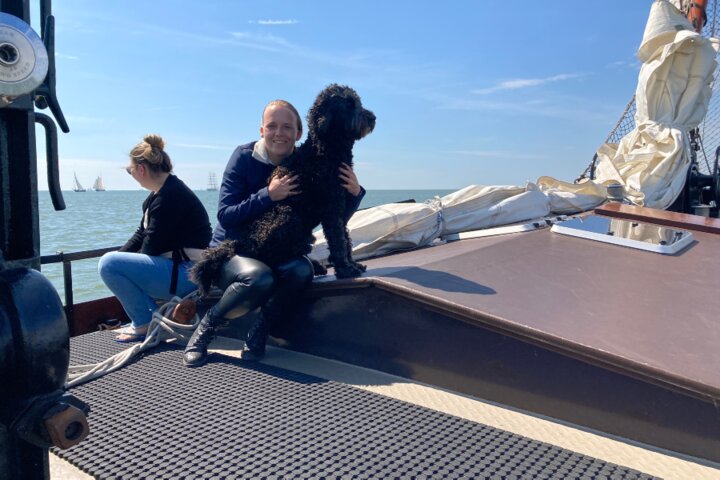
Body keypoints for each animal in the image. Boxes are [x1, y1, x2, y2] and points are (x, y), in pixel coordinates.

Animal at [191, 84, 376, 294]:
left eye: (358, 102)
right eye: (349, 104)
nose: (373, 118)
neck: (324, 150)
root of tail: (239, 243)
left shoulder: (340, 207)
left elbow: (346, 238)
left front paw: (352, 264)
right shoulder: (331, 208)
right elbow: (338, 241)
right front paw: (345, 269)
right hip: (286, 215)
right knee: (271, 257)